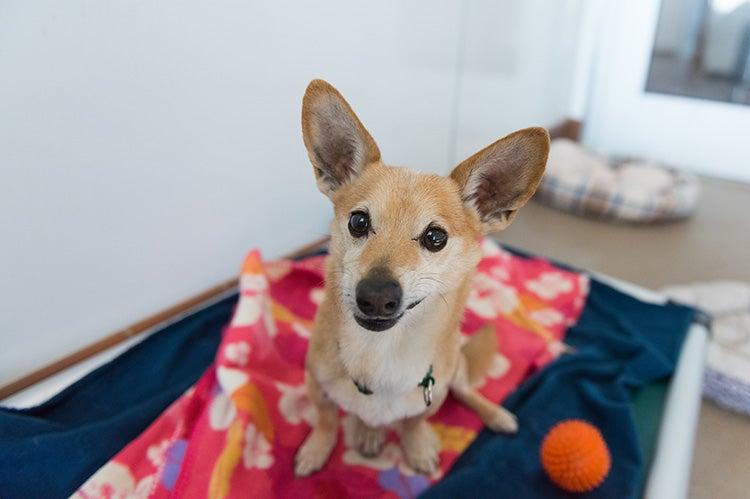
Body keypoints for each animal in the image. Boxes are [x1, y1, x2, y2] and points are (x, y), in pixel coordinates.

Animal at [296, 79, 552, 476]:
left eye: (435, 237)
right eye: (358, 222)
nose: (376, 295)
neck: (382, 354)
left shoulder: (433, 393)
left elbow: (415, 421)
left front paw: (416, 448)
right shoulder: (315, 381)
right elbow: (326, 419)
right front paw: (317, 449)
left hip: (456, 368)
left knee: (466, 389)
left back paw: (496, 415)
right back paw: (368, 432)